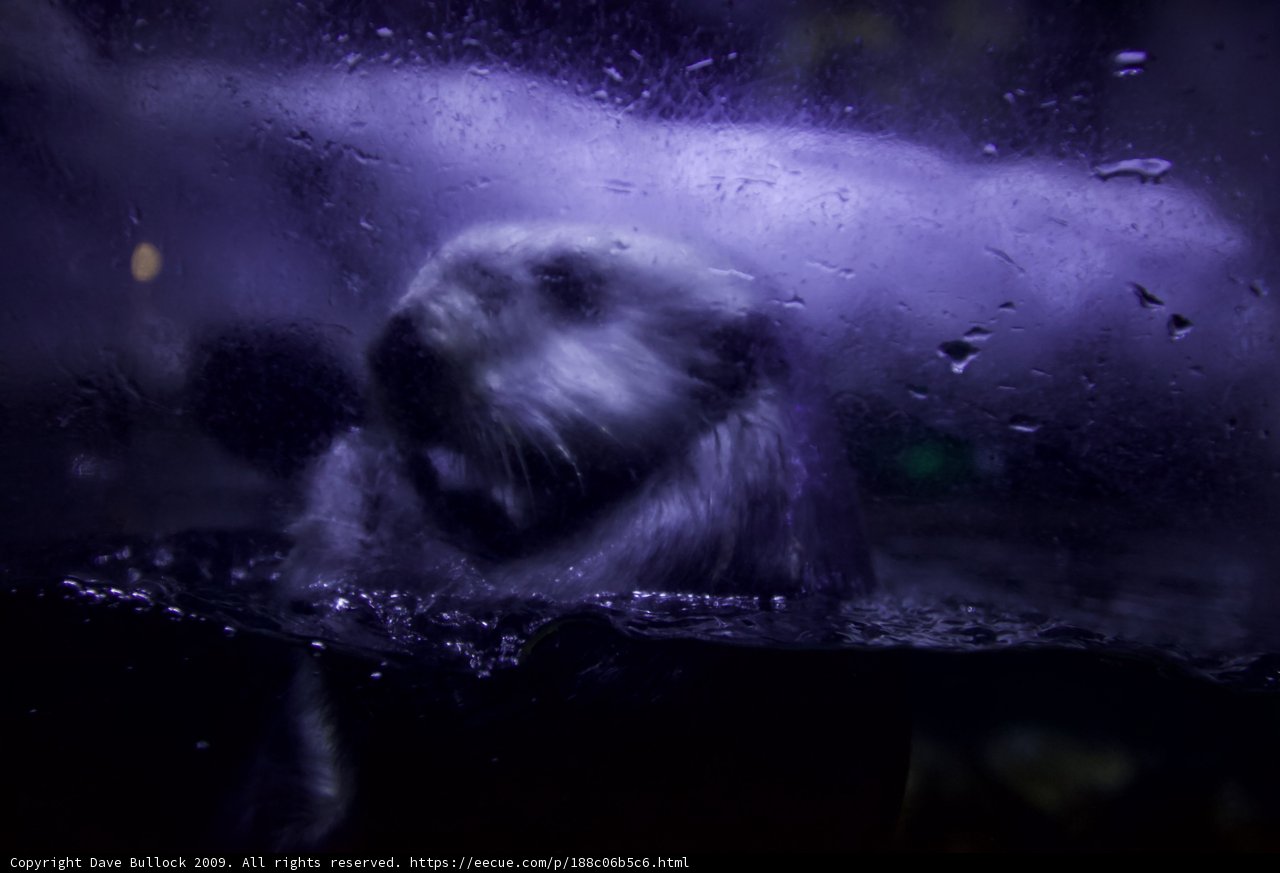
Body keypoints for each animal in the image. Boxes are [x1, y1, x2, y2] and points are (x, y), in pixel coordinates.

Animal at [285, 224, 872, 601]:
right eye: (430, 264)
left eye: (568, 283)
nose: (403, 343)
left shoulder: (682, 536)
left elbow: (465, 585)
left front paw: (362, 464)